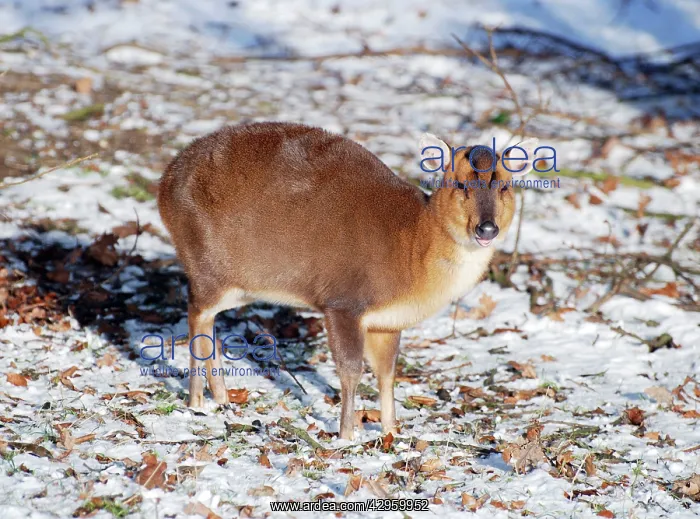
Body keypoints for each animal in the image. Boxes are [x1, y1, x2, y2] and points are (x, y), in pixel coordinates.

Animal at [157, 122, 538, 440]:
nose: (486, 229)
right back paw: (196, 401)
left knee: (208, 318)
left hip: (240, 283)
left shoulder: (386, 322)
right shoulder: (343, 301)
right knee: (195, 311)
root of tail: (164, 182)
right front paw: (347, 435)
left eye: (505, 186)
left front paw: (392, 430)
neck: (413, 247)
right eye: (460, 184)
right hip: (208, 263)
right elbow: (351, 370)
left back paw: (221, 395)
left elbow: (387, 372)